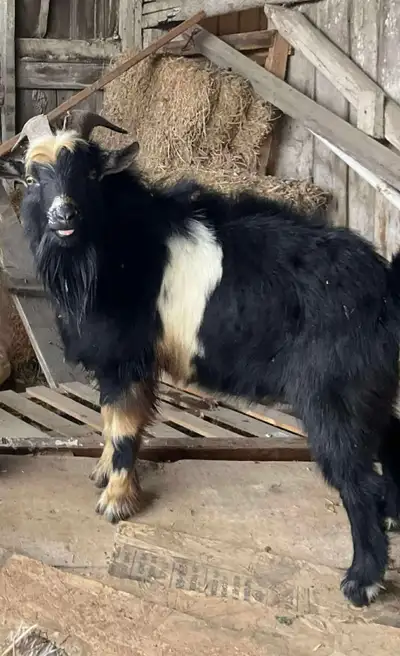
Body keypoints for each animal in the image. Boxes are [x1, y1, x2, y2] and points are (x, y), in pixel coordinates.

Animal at [1, 110, 400, 608]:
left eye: (90, 174)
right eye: (32, 177)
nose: (64, 215)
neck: (113, 252)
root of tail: (385, 285)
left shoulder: (125, 357)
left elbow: (124, 429)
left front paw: (116, 501)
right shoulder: (123, 364)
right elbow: (111, 421)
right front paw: (104, 474)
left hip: (333, 393)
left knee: (356, 478)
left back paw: (361, 579)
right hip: (370, 385)